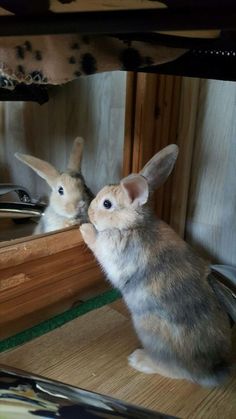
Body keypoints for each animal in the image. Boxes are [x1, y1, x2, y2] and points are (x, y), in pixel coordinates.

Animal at [79, 145, 232, 390]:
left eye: (107, 204)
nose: (90, 213)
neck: (132, 225)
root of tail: (209, 372)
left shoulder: (111, 249)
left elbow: (97, 242)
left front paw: (85, 229)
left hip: (150, 332)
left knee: (176, 370)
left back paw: (139, 360)